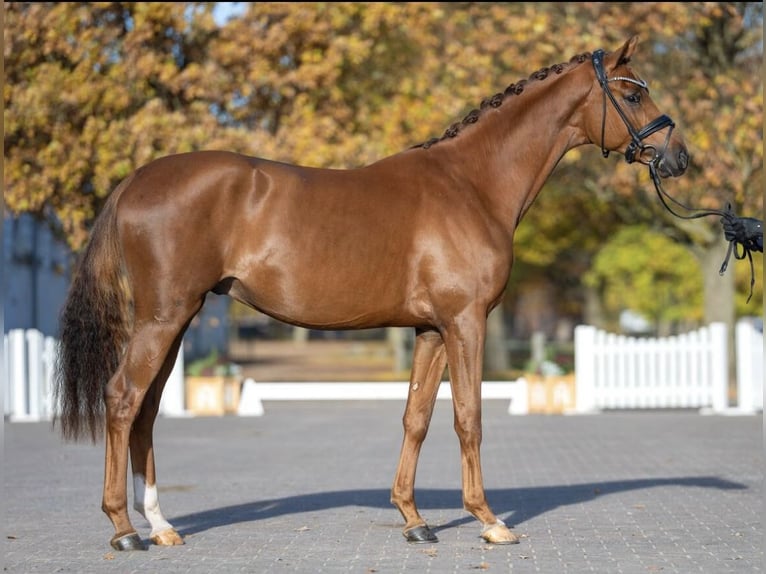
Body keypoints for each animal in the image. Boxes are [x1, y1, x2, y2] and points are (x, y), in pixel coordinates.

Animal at [53, 35, 688, 551]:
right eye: (631, 95)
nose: (678, 157)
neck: (472, 184)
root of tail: (137, 178)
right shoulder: (466, 321)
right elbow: (469, 416)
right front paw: (488, 520)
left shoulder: (431, 329)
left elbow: (417, 417)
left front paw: (414, 520)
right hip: (163, 318)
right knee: (122, 399)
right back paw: (124, 529)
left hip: (175, 319)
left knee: (147, 409)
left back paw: (161, 526)